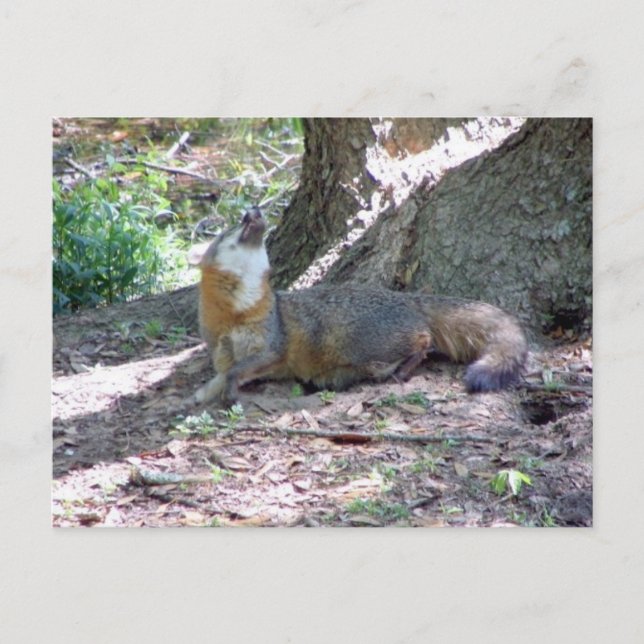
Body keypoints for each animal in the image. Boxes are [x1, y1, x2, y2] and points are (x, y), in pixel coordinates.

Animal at [188, 208, 527, 406]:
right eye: (230, 230)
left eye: (244, 220)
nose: (254, 210)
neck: (237, 312)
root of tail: (408, 298)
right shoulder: (229, 355)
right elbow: (223, 375)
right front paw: (202, 395)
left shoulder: (273, 348)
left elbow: (235, 372)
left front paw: (226, 393)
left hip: (358, 345)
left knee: (423, 340)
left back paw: (404, 369)